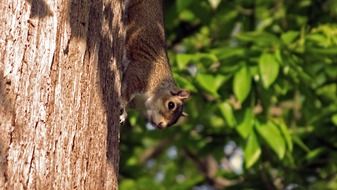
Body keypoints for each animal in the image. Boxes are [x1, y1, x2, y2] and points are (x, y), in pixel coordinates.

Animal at [120, 0, 189, 129]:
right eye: (171, 105)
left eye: (174, 122)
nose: (161, 125)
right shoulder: (141, 74)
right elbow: (126, 92)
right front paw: (122, 105)